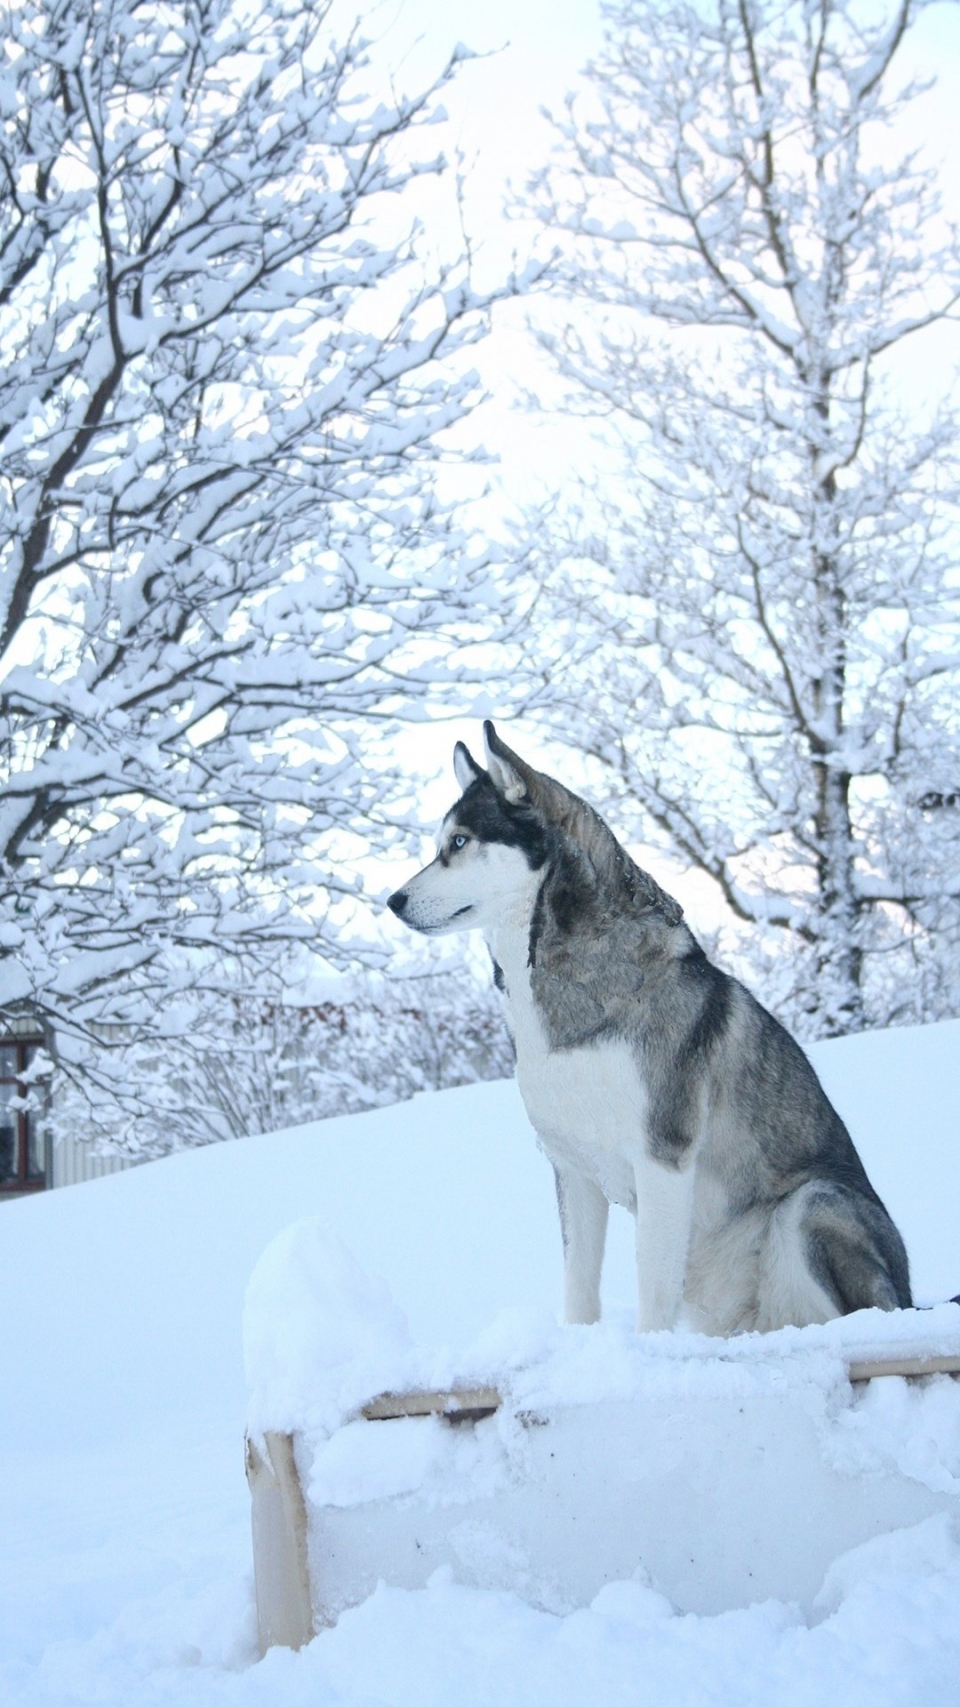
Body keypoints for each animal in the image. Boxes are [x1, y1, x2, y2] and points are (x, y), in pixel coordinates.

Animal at [384, 720, 908, 1331]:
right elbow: (579, 1290)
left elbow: (652, 1286)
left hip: (813, 1204)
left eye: (460, 843)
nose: (392, 900)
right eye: (438, 846)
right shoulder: (573, 1170)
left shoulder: (664, 1158)